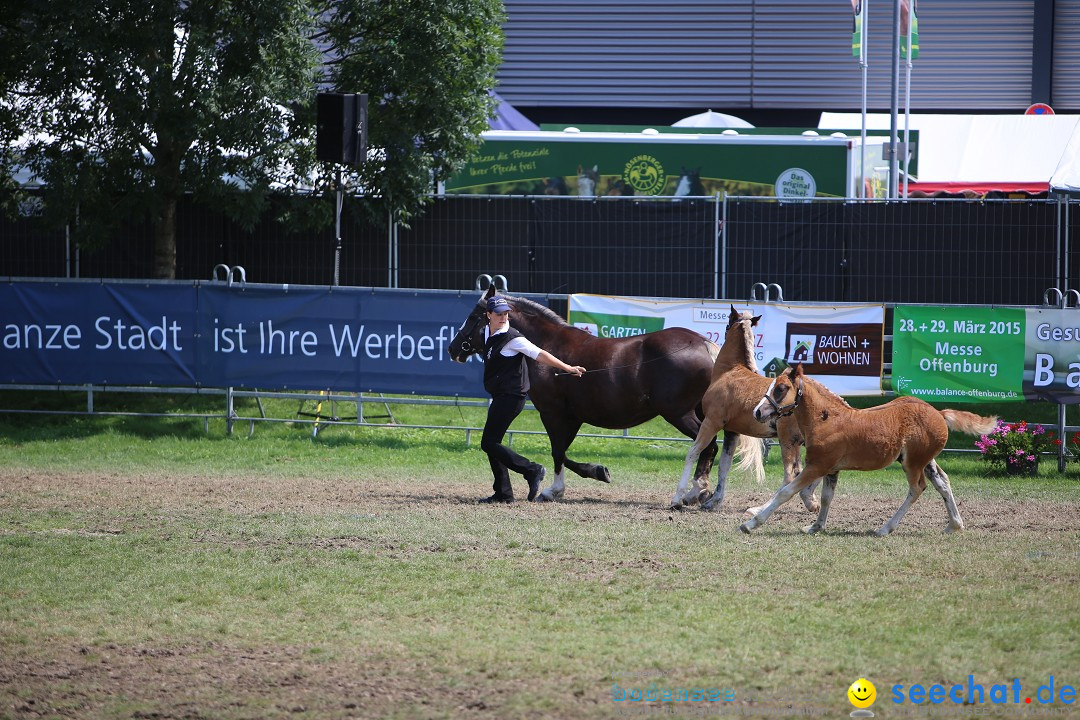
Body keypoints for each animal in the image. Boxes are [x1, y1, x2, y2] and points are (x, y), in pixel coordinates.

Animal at [447, 287, 717, 500]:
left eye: (473, 316)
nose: (452, 349)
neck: (547, 347)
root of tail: (704, 344)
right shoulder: (573, 417)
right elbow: (563, 451)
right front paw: (598, 471)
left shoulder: (552, 413)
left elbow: (557, 450)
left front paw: (552, 490)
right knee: (710, 448)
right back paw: (700, 492)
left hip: (679, 413)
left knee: (705, 446)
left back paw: (689, 493)